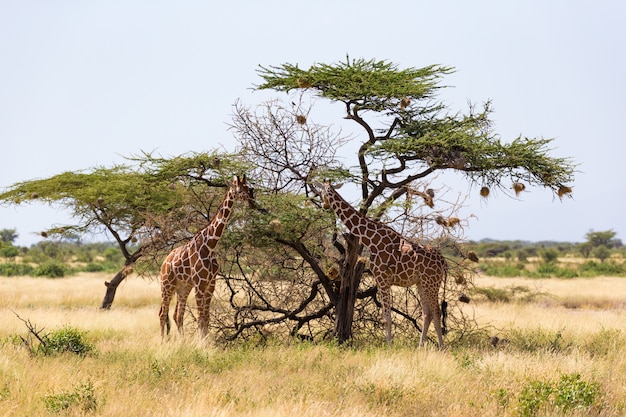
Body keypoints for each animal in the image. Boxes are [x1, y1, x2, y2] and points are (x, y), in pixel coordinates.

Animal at [160, 174, 252, 340]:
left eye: (249, 188)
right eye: (240, 190)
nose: (252, 202)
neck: (210, 246)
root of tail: (164, 262)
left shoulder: (210, 283)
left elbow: (206, 317)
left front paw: (205, 342)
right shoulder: (200, 283)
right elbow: (200, 316)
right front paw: (200, 343)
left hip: (183, 287)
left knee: (178, 314)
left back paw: (182, 341)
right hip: (167, 285)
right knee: (163, 313)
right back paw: (162, 341)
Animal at [320, 180, 446, 346]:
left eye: (321, 192)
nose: (324, 205)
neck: (370, 239)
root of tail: (443, 261)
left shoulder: (383, 278)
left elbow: (387, 316)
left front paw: (389, 345)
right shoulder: (379, 279)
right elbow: (386, 315)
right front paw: (389, 343)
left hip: (432, 283)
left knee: (436, 312)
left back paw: (441, 347)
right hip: (421, 283)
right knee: (427, 313)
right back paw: (420, 347)